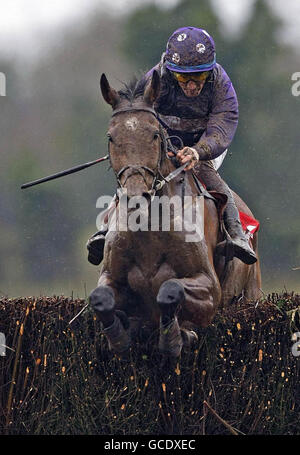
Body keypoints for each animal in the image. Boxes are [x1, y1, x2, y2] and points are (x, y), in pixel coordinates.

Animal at [89, 69, 262, 358]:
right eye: (111, 137)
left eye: (154, 135)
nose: (135, 196)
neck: (149, 228)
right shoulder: (112, 277)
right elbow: (100, 297)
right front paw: (120, 337)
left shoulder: (210, 287)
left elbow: (168, 289)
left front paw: (175, 337)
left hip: (251, 293)